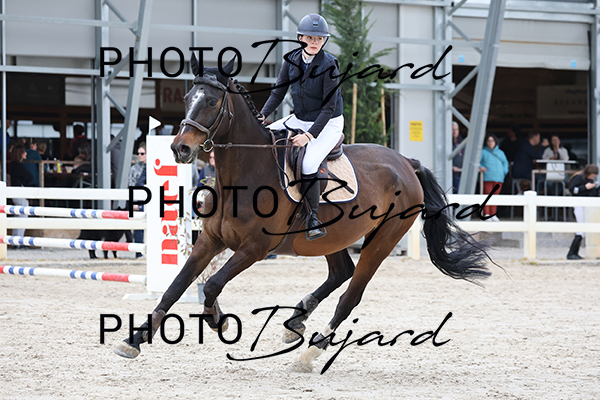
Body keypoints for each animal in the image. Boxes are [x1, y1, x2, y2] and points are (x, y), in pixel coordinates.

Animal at [113, 55, 492, 372]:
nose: (180, 148)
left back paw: (310, 353)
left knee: (350, 295)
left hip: (382, 240)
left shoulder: (255, 249)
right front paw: (134, 340)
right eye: (188, 98)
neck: (246, 171)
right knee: (341, 272)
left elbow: (213, 285)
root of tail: (406, 163)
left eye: (211, 101)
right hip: (333, 236)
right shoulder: (211, 239)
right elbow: (176, 287)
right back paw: (296, 320)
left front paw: (218, 320)